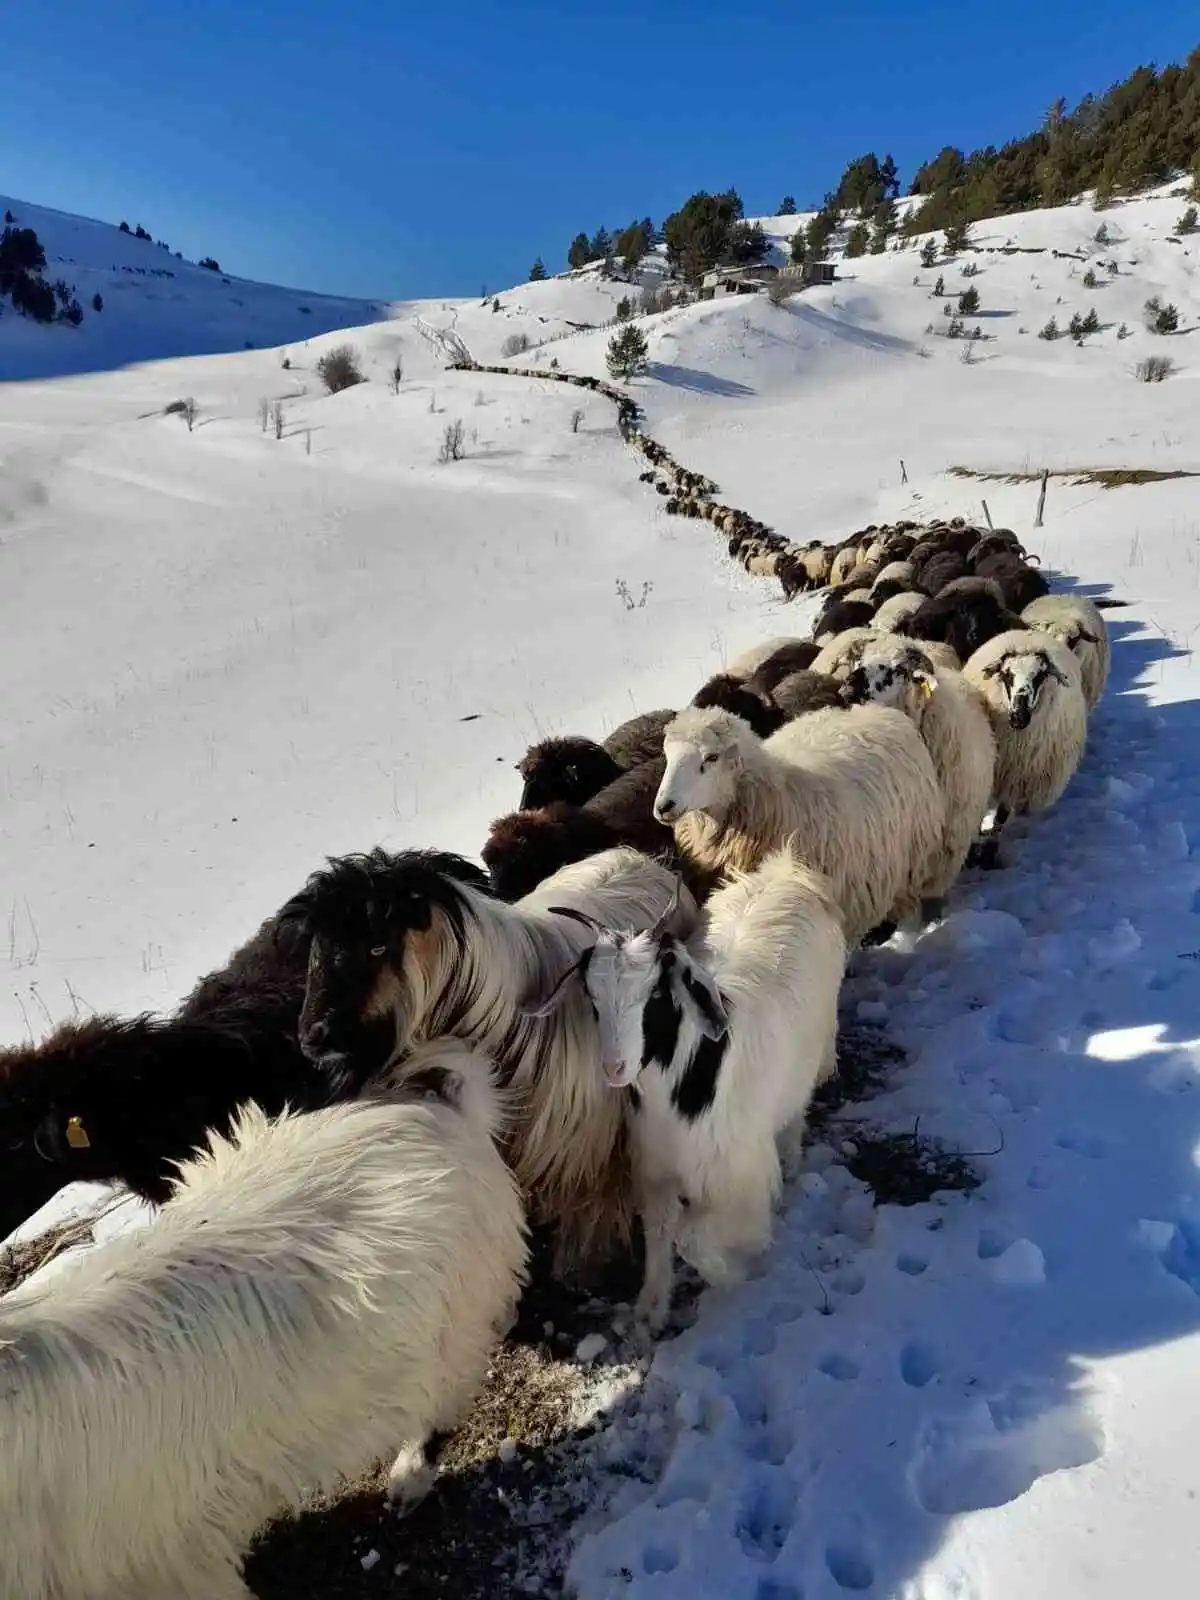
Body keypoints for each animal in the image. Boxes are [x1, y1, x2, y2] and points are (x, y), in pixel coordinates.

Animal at [966, 624, 1088, 864]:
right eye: (1006, 674)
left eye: (1041, 675)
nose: (1019, 717)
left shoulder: (1017, 776)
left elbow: (1002, 815)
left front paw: (989, 850)